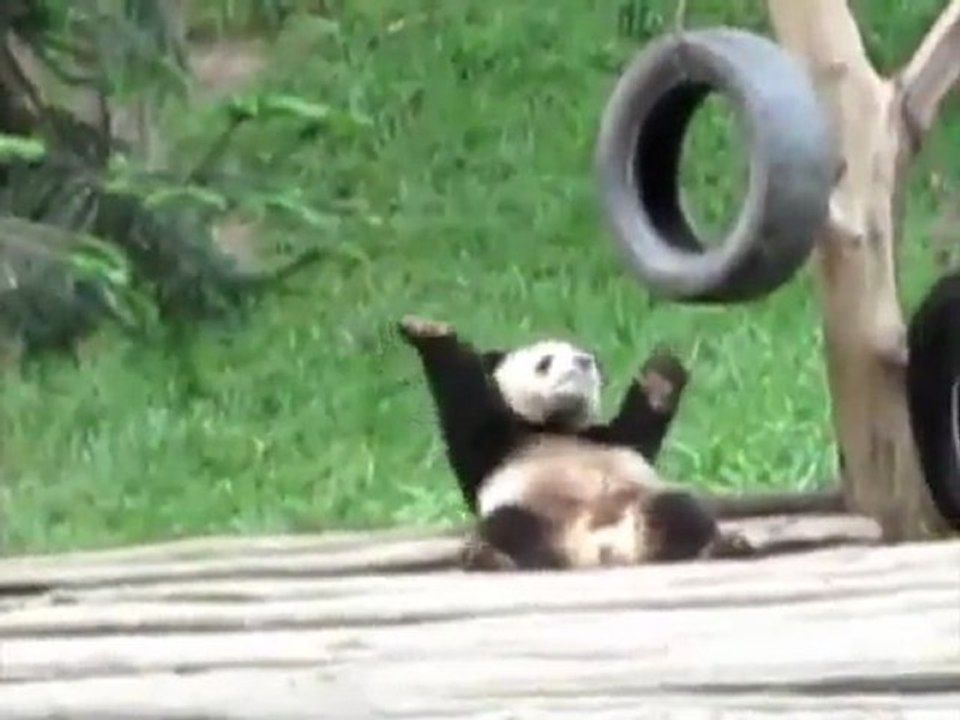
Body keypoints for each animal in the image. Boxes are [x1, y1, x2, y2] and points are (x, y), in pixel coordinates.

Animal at [396, 314, 757, 571]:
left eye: (588, 359)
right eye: (545, 362)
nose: (584, 362)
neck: (555, 426)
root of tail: (602, 548)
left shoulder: (608, 438)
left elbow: (639, 431)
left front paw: (660, 375)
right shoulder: (498, 446)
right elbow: (467, 422)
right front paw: (431, 335)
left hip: (641, 502)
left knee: (677, 508)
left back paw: (719, 547)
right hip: (541, 514)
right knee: (511, 527)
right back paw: (490, 557)